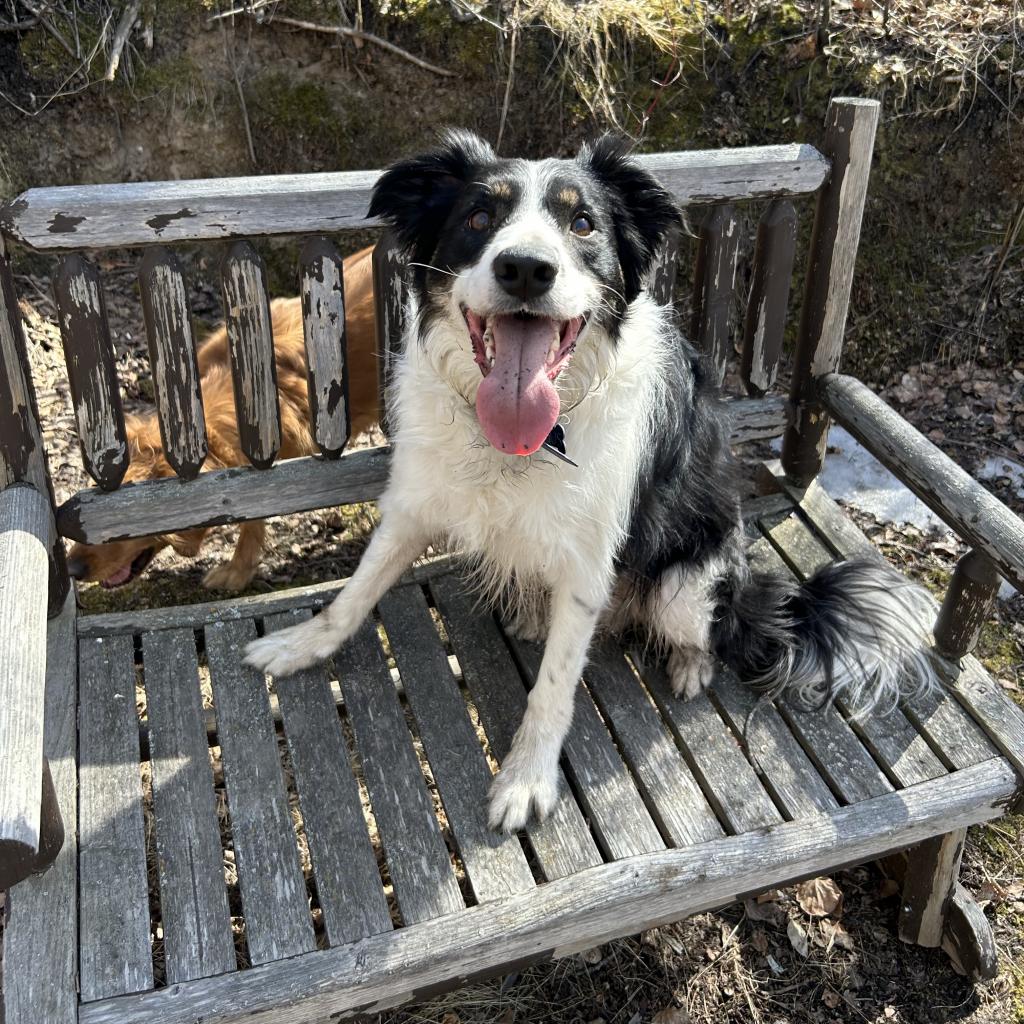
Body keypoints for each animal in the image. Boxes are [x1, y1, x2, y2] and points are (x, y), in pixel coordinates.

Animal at [243, 130, 937, 831]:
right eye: (478, 218)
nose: (526, 269)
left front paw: (526, 780)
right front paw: (300, 646)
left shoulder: (585, 564)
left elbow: (552, 688)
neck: (522, 437)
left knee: (711, 630)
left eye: (582, 223)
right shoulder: (415, 501)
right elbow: (356, 590)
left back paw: (690, 663)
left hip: (689, 585)